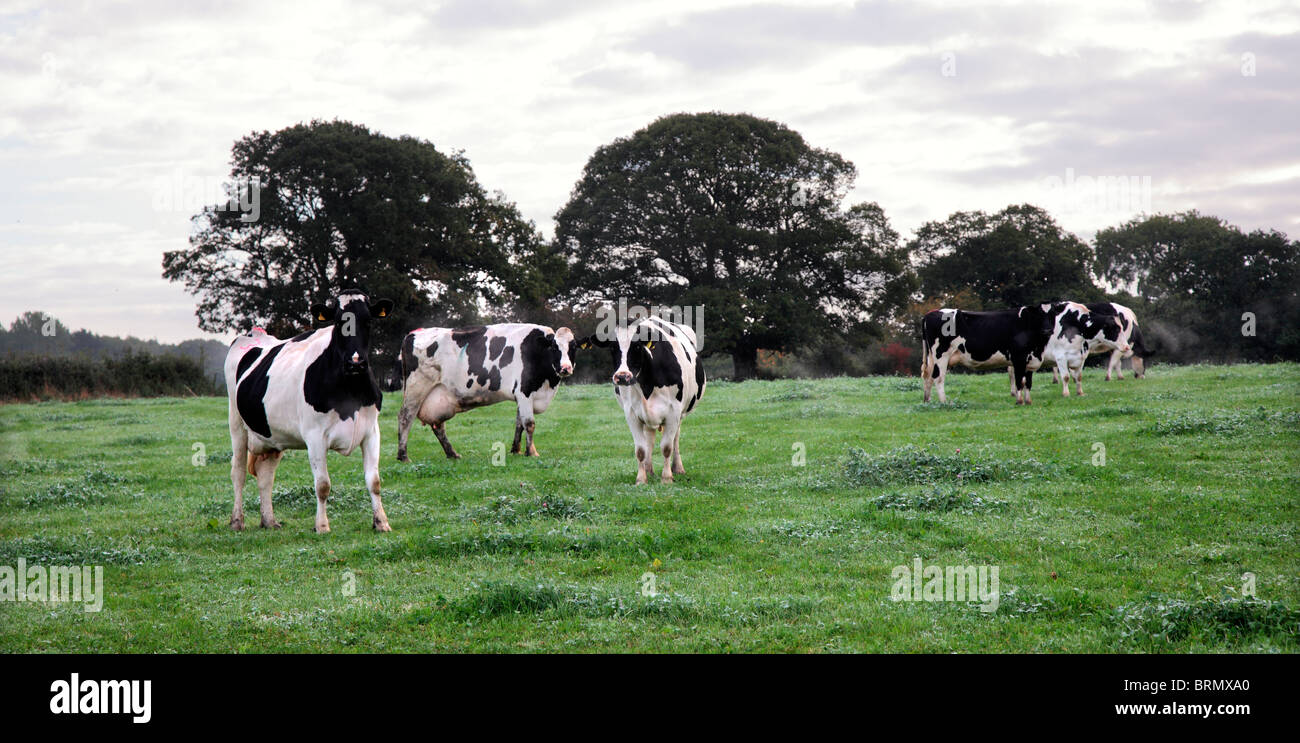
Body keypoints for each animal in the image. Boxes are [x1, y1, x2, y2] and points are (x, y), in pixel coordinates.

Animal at [226, 289, 392, 535]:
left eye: (368, 321)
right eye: (338, 323)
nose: (355, 363)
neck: (350, 390)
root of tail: (254, 334)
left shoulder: (372, 431)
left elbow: (374, 481)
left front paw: (381, 522)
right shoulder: (314, 436)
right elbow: (322, 485)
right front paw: (321, 526)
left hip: (272, 437)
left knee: (266, 475)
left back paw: (269, 520)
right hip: (236, 424)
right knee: (238, 472)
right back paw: (237, 521)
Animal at [392, 323, 577, 459]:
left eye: (573, 347)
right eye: (554, 347)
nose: (565, 368)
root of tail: (413, 333)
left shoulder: (521, 395)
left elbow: (519, 424)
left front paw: (516, 450)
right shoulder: (524, 391)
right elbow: (529, 424)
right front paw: (531, 452)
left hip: (438, 396)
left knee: (438, 425)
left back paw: (452, 454)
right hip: (416, 387)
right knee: (405, 416)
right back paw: (403, 456)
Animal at [582, 316, 707, 485]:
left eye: (637, 346)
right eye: (613, 347)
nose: (622, 376)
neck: (648, 383)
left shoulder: (673, 412)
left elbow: (667, 447)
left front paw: (667, 478)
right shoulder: (631, 414)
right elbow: (641, 450)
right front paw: (641, 479)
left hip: (681, 414)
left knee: (675, 439)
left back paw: (678, 468)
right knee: (650, 438)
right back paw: (649, 469)